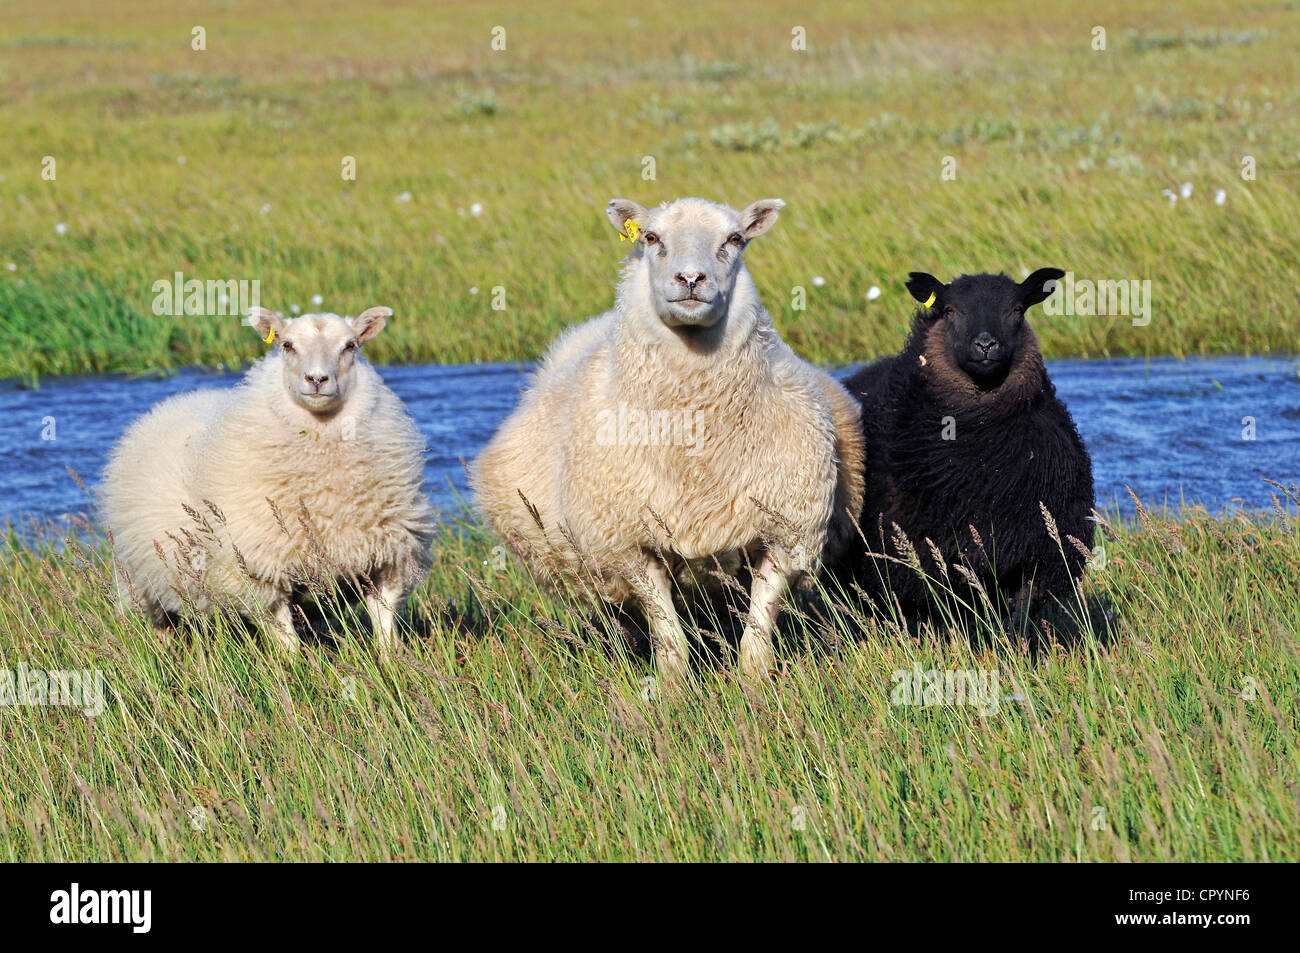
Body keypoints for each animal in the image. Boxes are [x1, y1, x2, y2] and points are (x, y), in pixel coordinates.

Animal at [102, 308, 436, 650]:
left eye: (350, 346)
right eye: (287, 345)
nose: (317, 379)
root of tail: (177, 401)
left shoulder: (390, 561)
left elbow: (385, 627)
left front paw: (393, 659)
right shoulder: (259, 574)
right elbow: (287, 644)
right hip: (146, 583)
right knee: (161, 625)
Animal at [467, 197, 863, 681]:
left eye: (734, 239)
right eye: (651, 238)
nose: (691, 279)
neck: (694, 442)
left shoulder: (787, 533)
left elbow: (760, 622)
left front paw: (755, 681)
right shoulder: (624, 543)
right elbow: (666, 627)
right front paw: (673, 685)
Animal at [832, 265, 1097, 624]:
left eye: (1017, 309)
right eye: (949, 310)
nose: (985, 344)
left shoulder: (1039, 553)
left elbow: (1020, 615)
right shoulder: (934, 558)